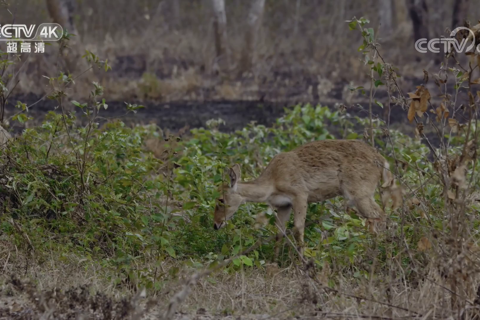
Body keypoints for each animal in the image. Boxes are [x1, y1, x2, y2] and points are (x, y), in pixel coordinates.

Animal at [212, 139, 396, 260]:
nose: (216, 224)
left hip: (360, 193)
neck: (272, 183)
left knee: (381, 217)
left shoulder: (300, 195)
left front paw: (303, 262)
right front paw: (274, 262)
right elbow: (279, 232)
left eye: (220, 200)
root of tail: (383, 161)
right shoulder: (283, 205)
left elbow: (298, 228)